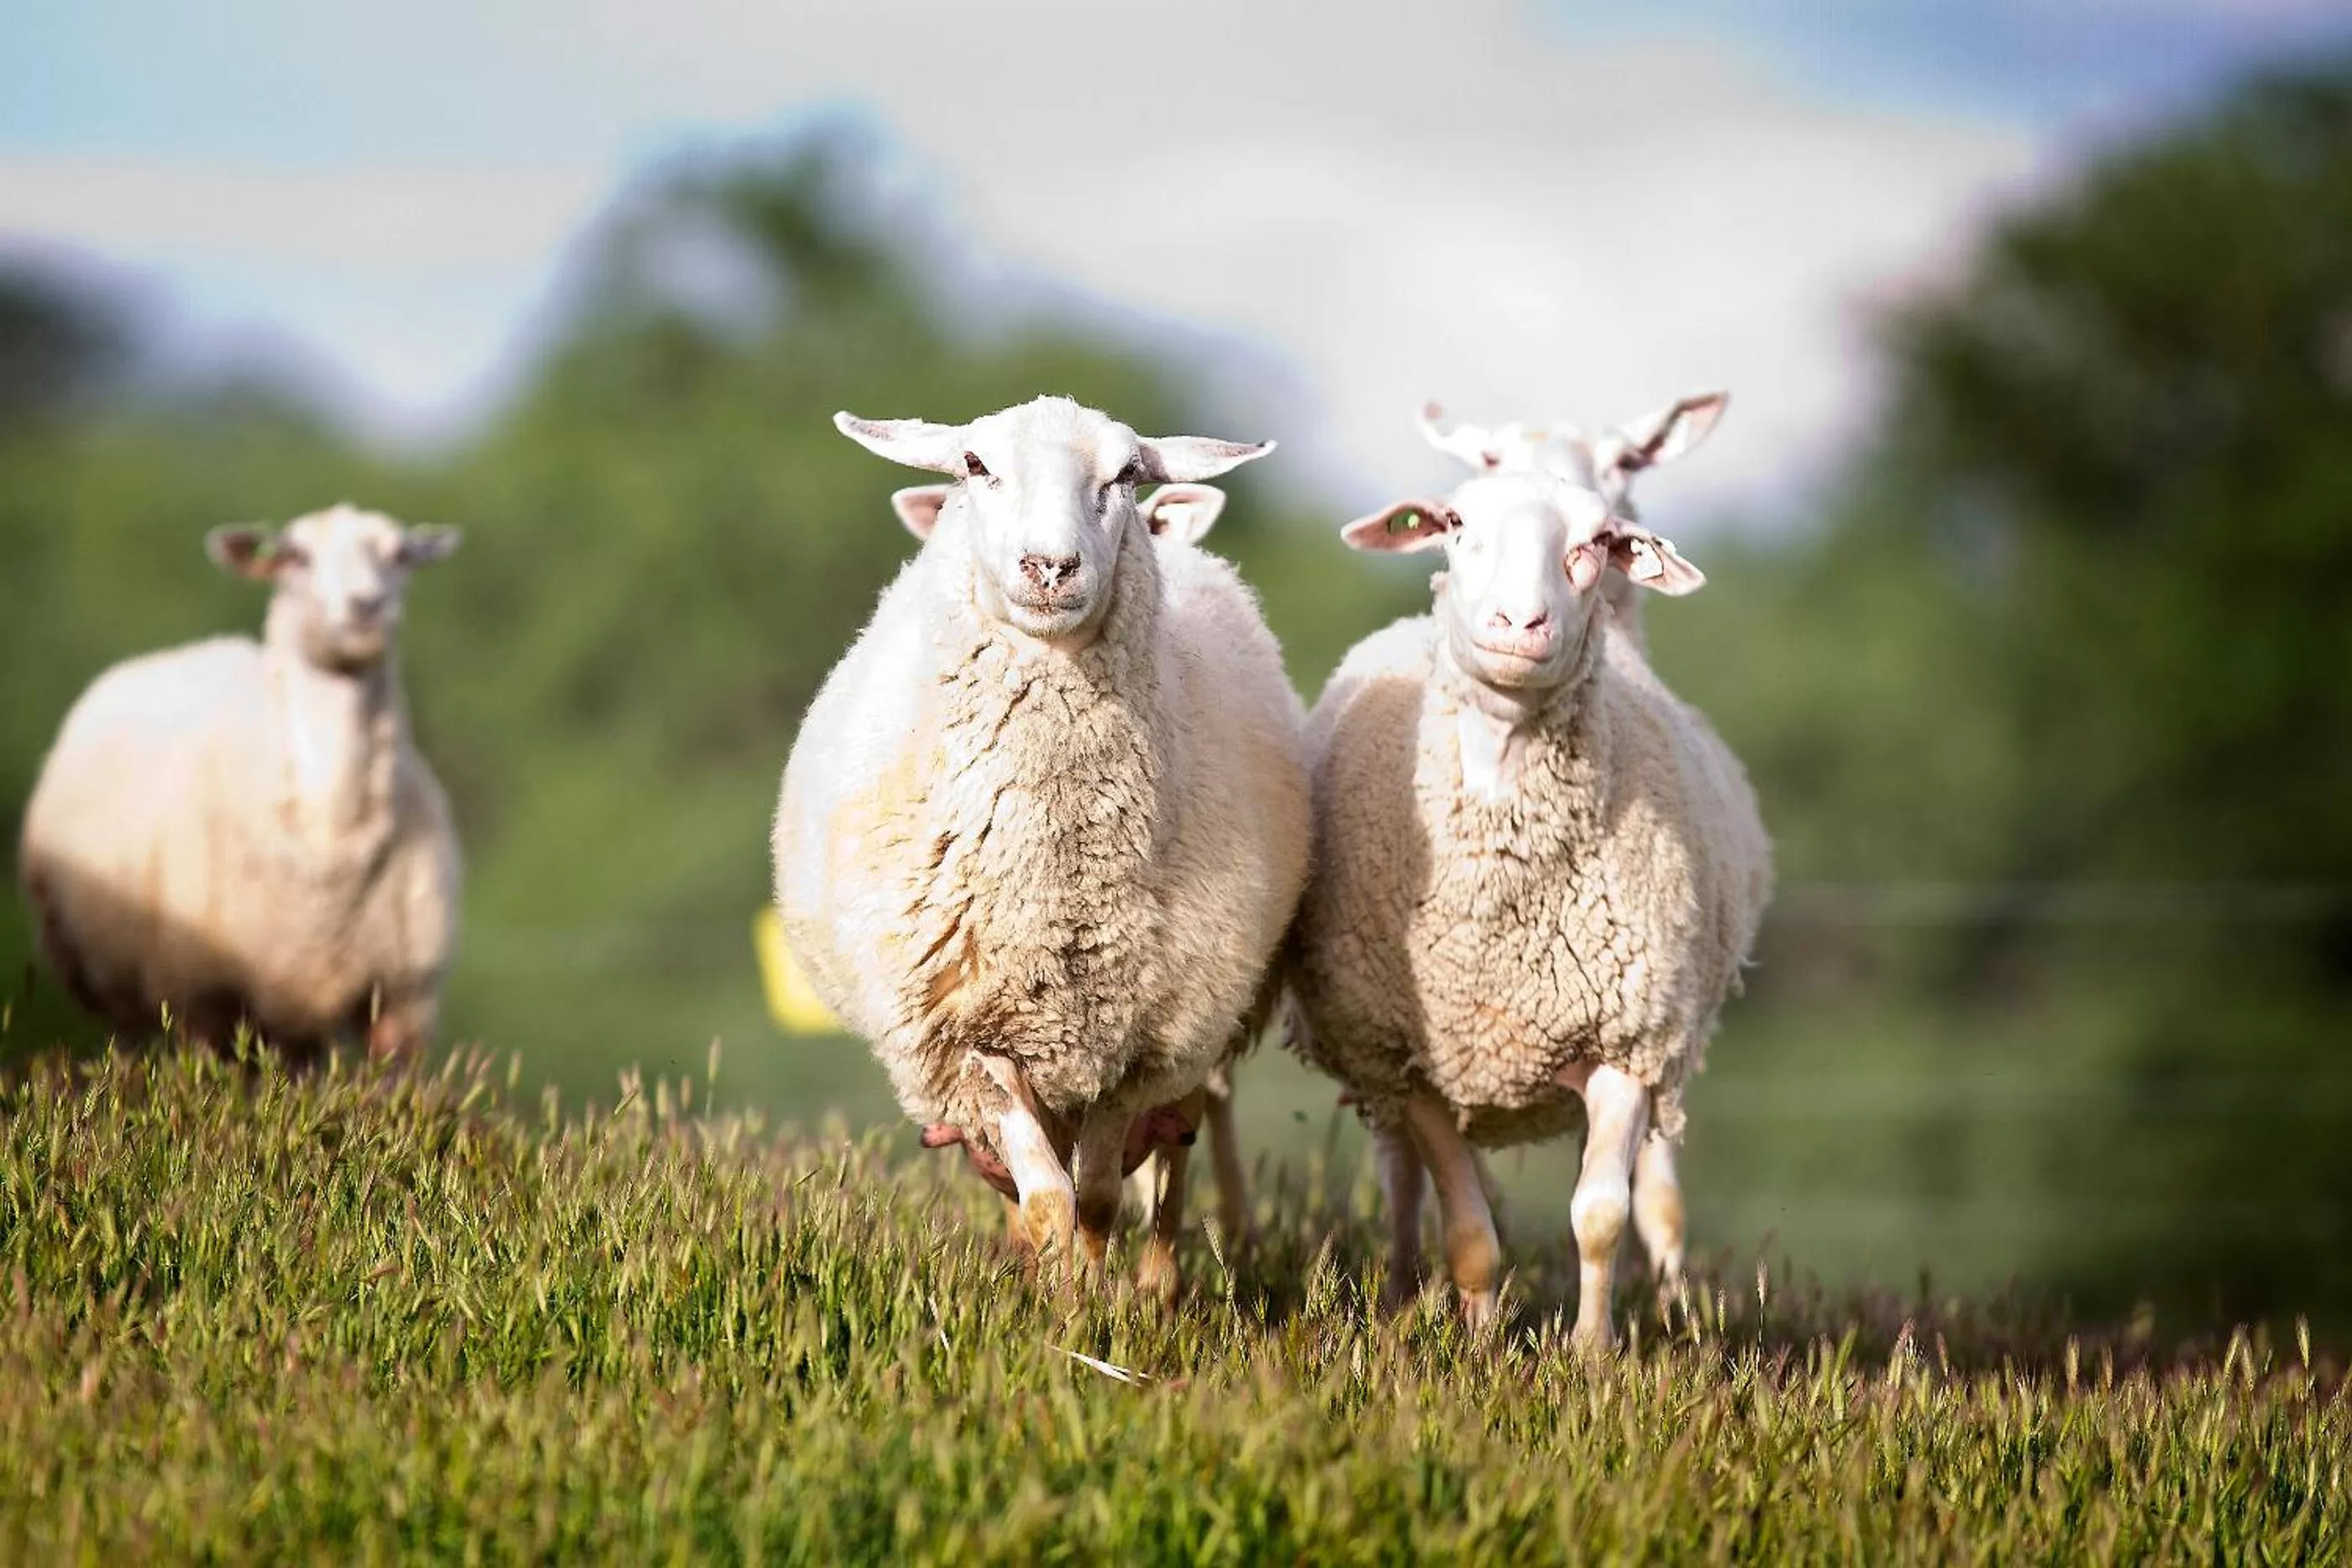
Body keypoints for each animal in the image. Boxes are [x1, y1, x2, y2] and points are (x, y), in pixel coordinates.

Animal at [19, 504, 464, 1061]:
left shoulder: (404, 1002)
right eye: (295, 556)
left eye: (400, 554)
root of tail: (189, 648)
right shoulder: (200, 996)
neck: (330, 831)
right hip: (103, 980)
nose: (367, 605)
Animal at [772, 395, 1310, 1294]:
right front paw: (1056, 1294)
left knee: (1173, 1148)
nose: (1050, 567)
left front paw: (1096, 1295)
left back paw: (1156, 1283)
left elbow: (1098, 1193)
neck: (1052, 874)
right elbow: (1052, 1194)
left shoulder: (1146, 1038)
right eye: (975, 465)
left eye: (1127, 474)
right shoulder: (968, 1033)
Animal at [1288, 467, 1770, 1352]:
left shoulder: (1627, 1041)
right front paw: (1479, 1346)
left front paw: (1591, 1355)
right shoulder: (1418, 1063)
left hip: (1663, 1041)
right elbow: (1469, 1230)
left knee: (1656, 1193)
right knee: (1401, 1180)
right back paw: (1401, 1297)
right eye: (1455, 523)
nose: (1520, 622)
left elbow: (1600, 1214)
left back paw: (1677, 1310)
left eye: (1595, 543)